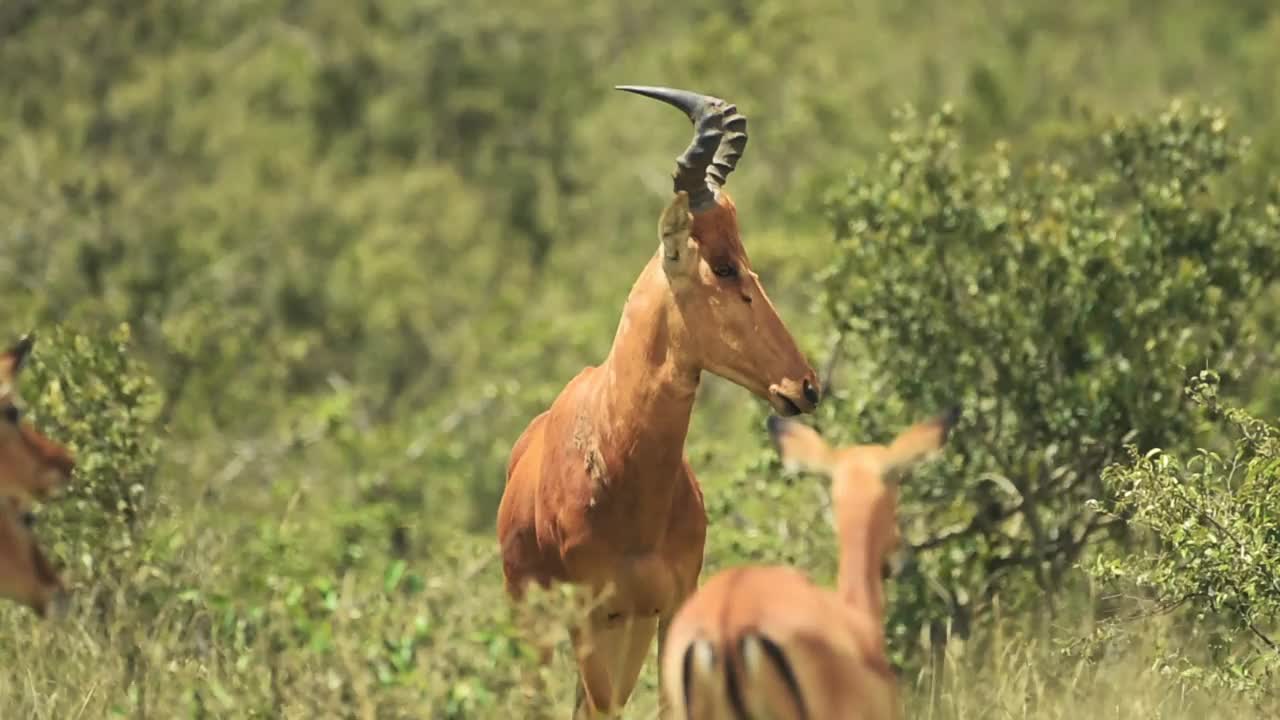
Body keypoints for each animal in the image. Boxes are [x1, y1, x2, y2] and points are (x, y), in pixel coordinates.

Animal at [496, 87, 819, 712]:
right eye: (722, 265)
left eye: (747, 259)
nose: (804, 386)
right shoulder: (587, 620)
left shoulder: (671, 606)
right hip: (541, 629)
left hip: (629, 631)